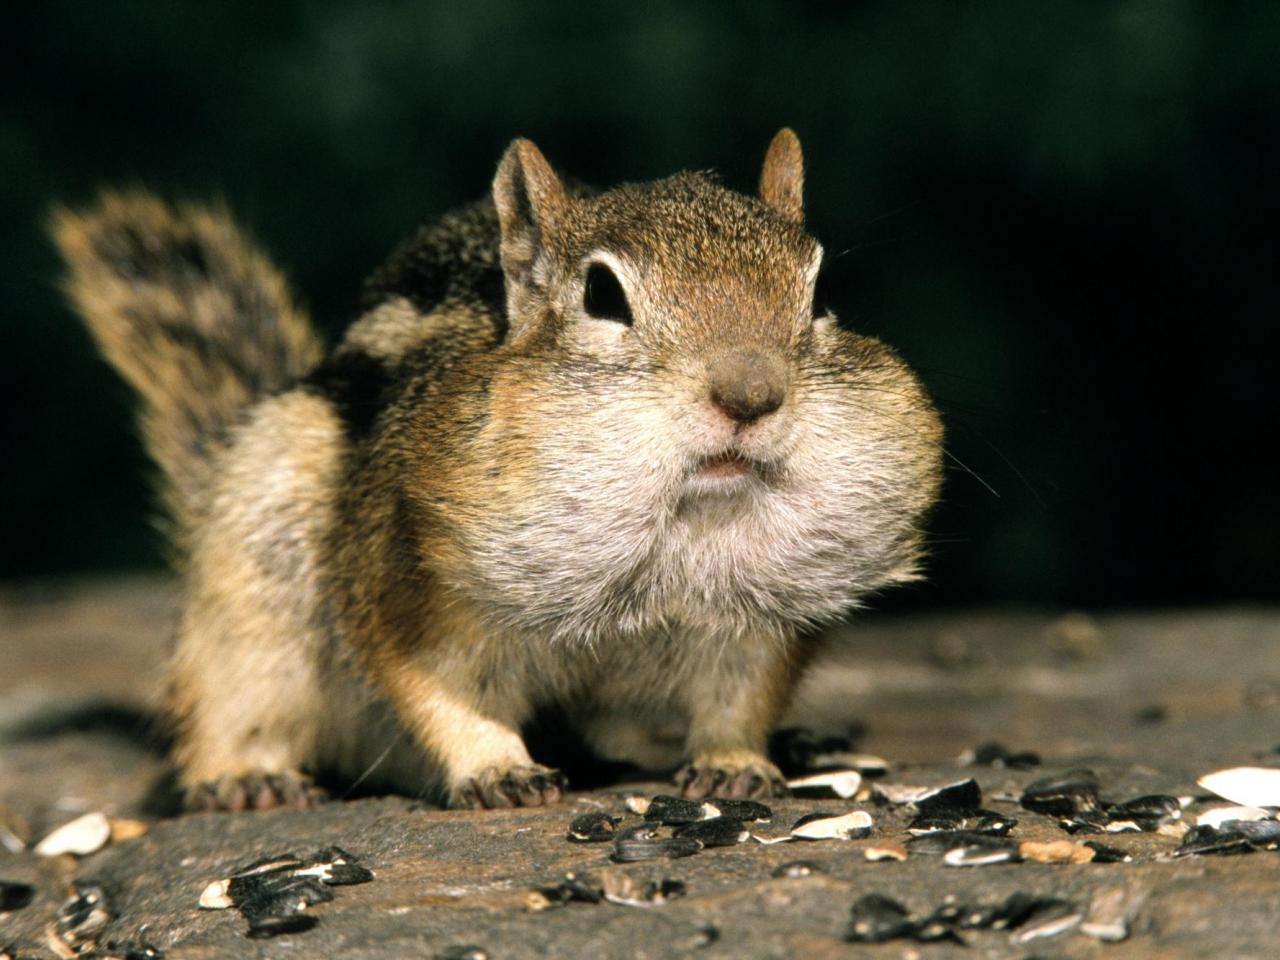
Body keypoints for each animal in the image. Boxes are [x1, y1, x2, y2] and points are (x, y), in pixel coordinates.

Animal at [52, 126, 942, 803]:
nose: (751, 395)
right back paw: (245, 777)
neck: (681, 523)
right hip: (253, 576)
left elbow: (740, 695)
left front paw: (735, 762)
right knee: (230, 698)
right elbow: (437, 684)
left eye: (818, 294)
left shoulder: (759, 621)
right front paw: (496, 768)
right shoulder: (407, 584)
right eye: (603, 296)